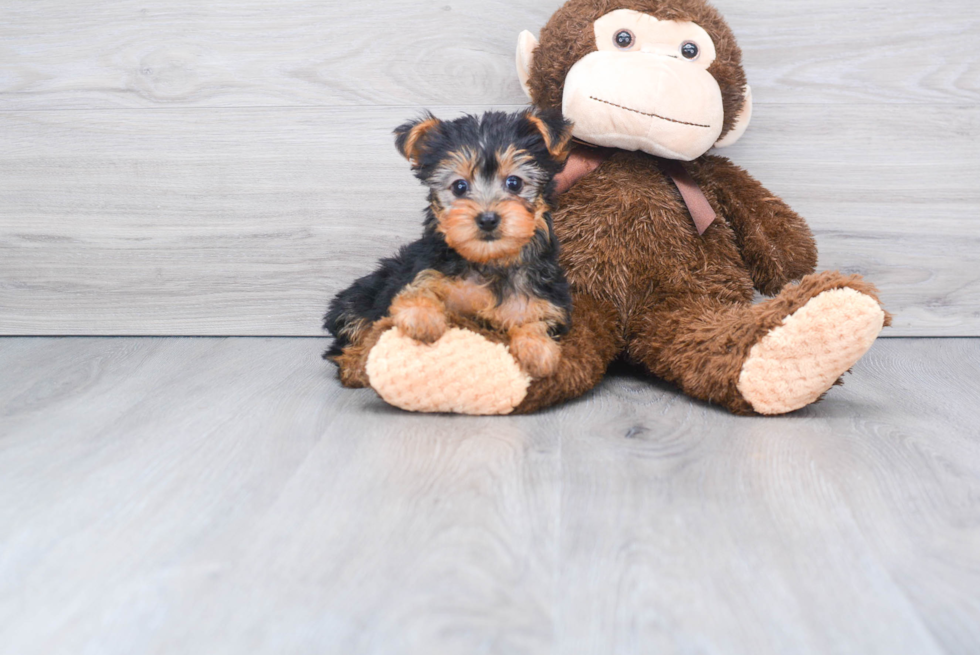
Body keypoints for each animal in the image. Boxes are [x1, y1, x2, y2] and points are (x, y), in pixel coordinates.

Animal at [326, 109, 580, 380]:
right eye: (459, 186)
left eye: (514, 183)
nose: (487, 219)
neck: (489, 262)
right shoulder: (423, 271)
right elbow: (418, 290)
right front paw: (422, 317)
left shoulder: (546, 297)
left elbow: (536, 320)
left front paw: (537, 349)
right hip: (362, 295)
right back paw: (355, 365)